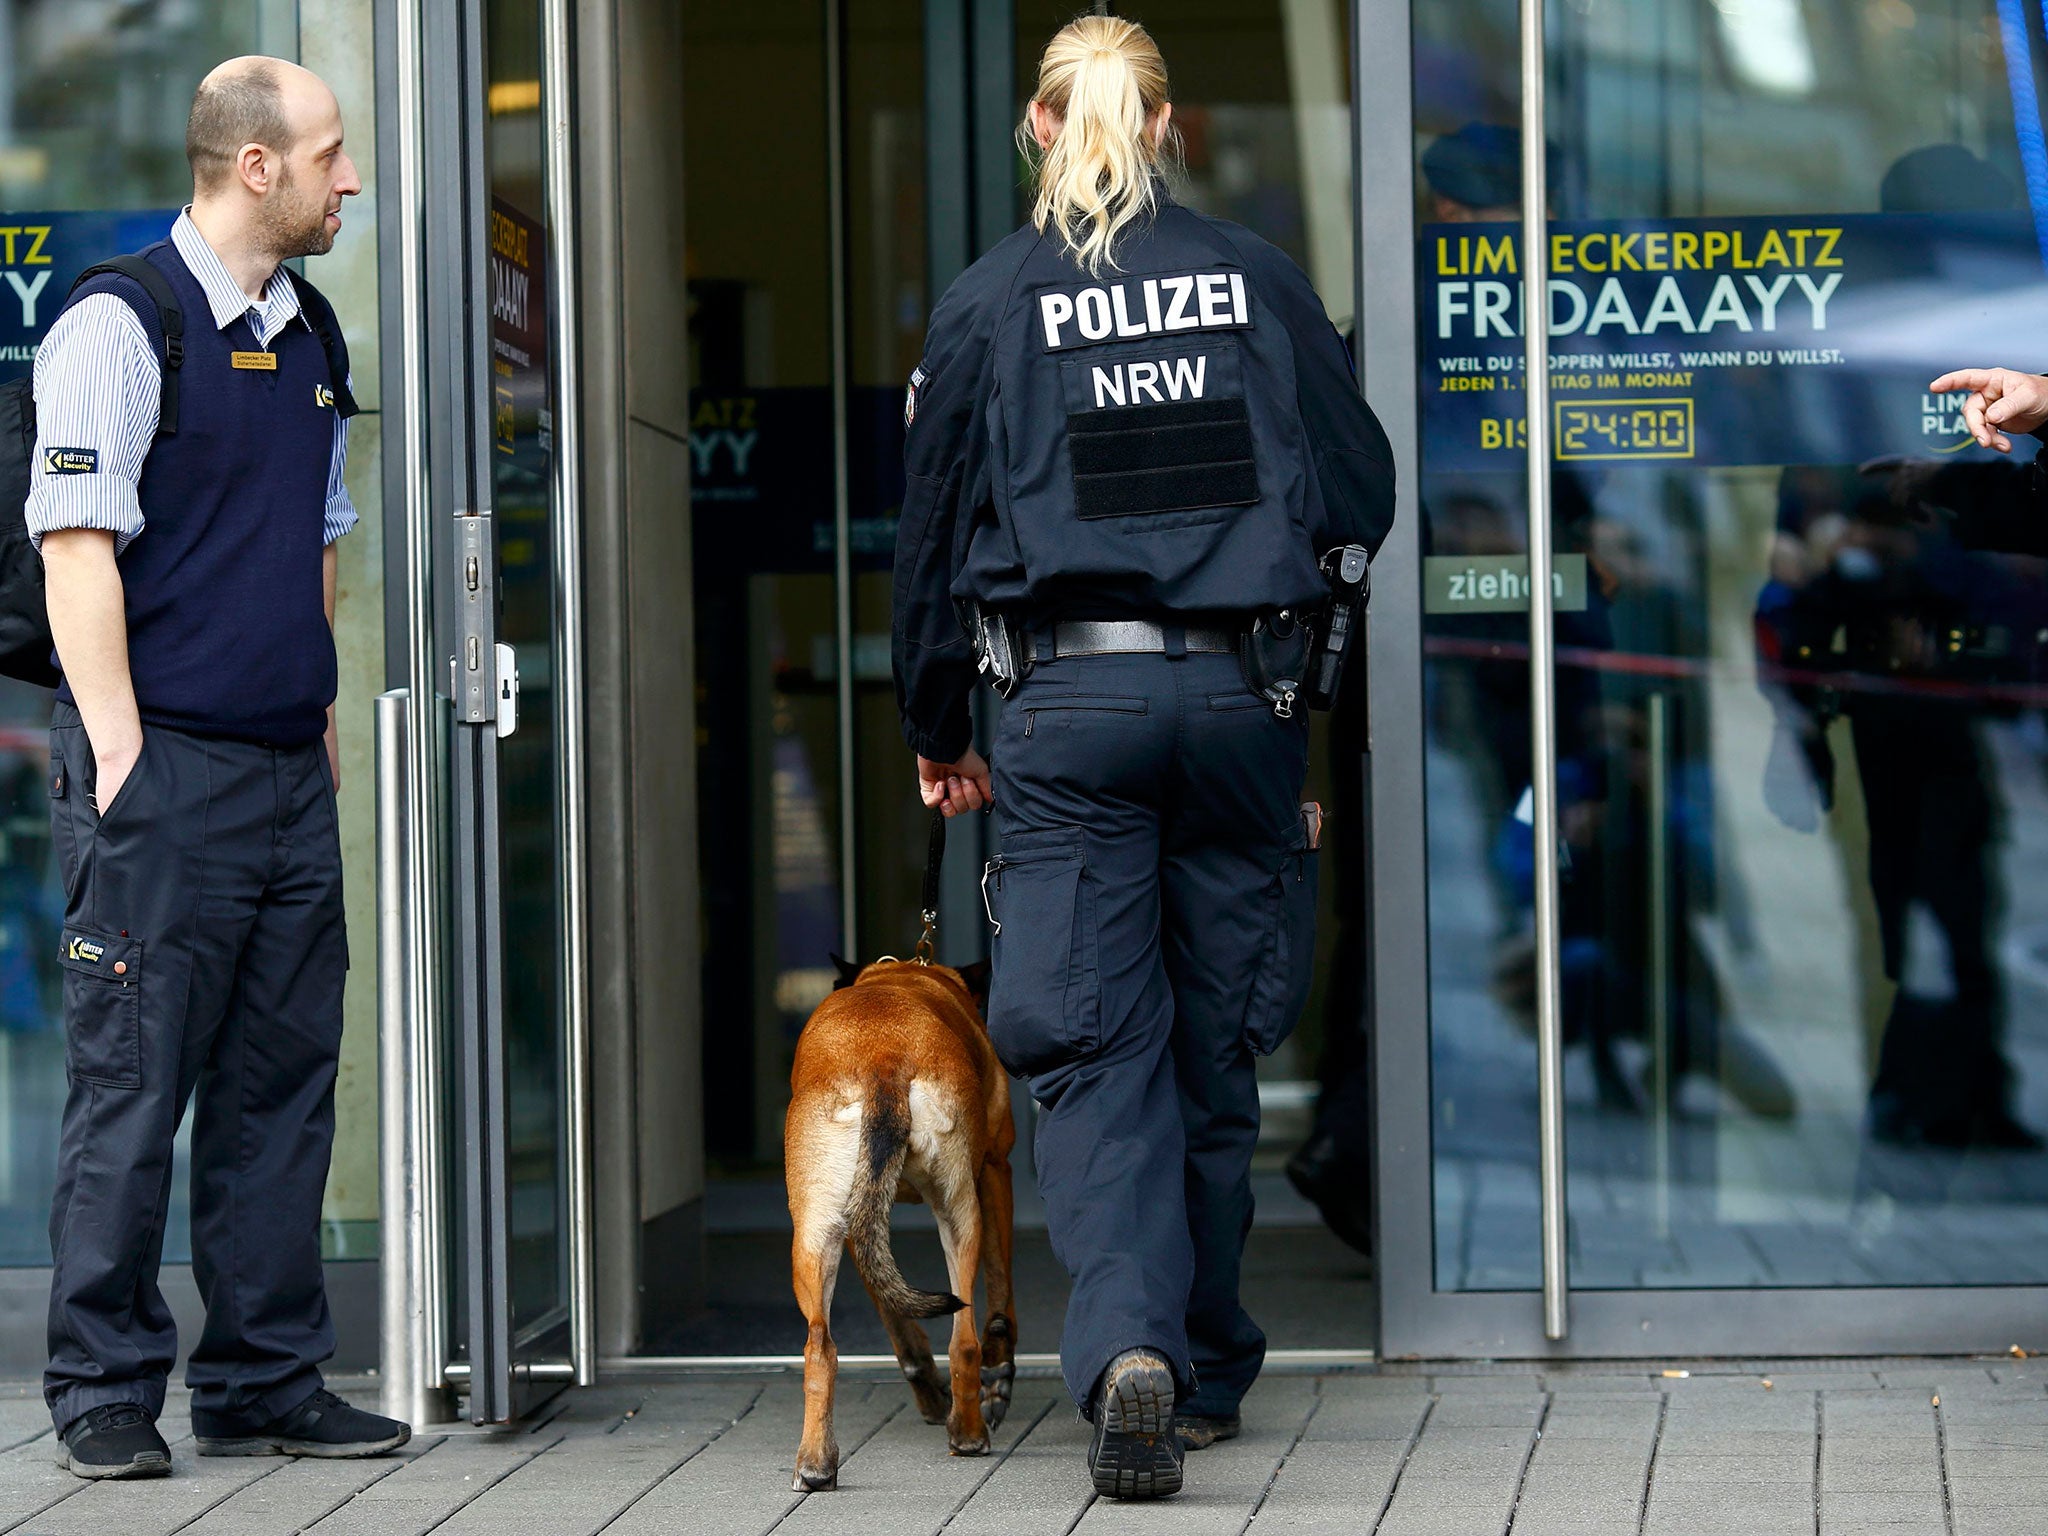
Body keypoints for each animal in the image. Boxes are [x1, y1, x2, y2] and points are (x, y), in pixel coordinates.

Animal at [782, 962, 1015, 1490]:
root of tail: (882, 1058)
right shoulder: (996, 1170)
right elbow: (1001, 1288)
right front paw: (999, 1373)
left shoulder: (856, 1228)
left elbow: (895, 1316)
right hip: (962, 1211)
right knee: (965, 1337)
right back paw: (968, 1434)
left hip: (815, 1234)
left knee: (820, 1346)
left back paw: (816, 1464)